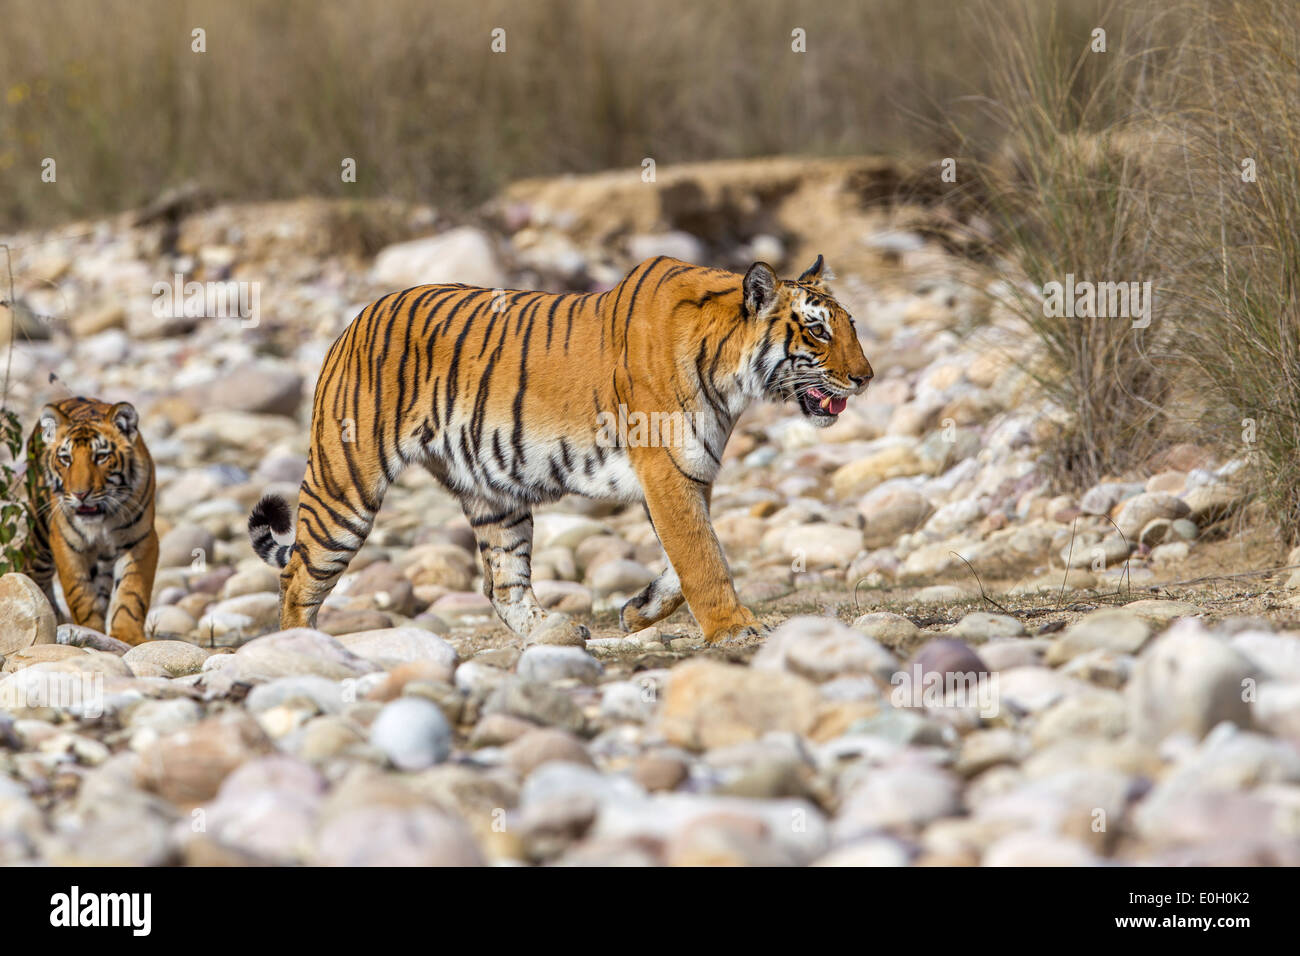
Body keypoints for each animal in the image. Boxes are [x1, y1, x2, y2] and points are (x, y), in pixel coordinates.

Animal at [25, 395, 158, 642]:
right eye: (66, 459)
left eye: (101, 457)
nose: (80, 494)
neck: (102, 521)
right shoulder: (66, 543)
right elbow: (81, 595)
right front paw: (90, 632)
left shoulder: (142, 540)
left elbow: (132, 592)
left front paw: (128, 636)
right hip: (40, 535)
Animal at [248, 256, 873, 642]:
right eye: (817, 331)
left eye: (851, 326)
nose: (866, 378)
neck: (730, 377)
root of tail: (353, 321)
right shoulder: (668, 471)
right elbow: (705, 558)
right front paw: (736, 628)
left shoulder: (687, 473)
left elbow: (689, 556)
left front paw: (637, 611)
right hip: (345, 487)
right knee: (297, 578)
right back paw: (301, 653)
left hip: (494, 497)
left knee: (502, 585)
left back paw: (555, 634)